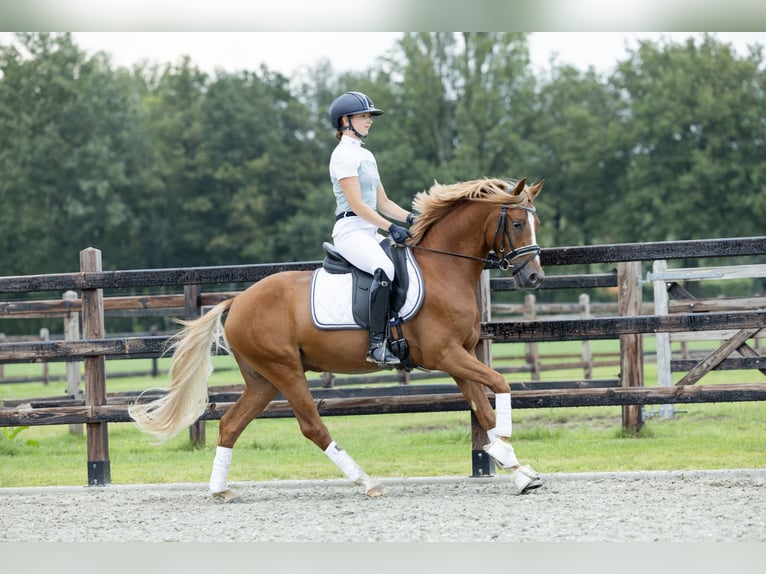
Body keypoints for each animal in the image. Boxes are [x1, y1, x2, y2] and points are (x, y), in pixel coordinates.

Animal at [129, 178, 544, 502]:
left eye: (535, 222)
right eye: (517, 223)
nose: (534, 278)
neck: (443, 267)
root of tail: (238, 301)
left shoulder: (459, 357)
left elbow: (484, 409)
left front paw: (518, 470)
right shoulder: (446, 355)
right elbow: (500, 385)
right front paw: (507, 445)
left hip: (263, 379)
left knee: (231, 424)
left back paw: (219, 489)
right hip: (285, 370)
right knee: (312, 426)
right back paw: (367, 482)